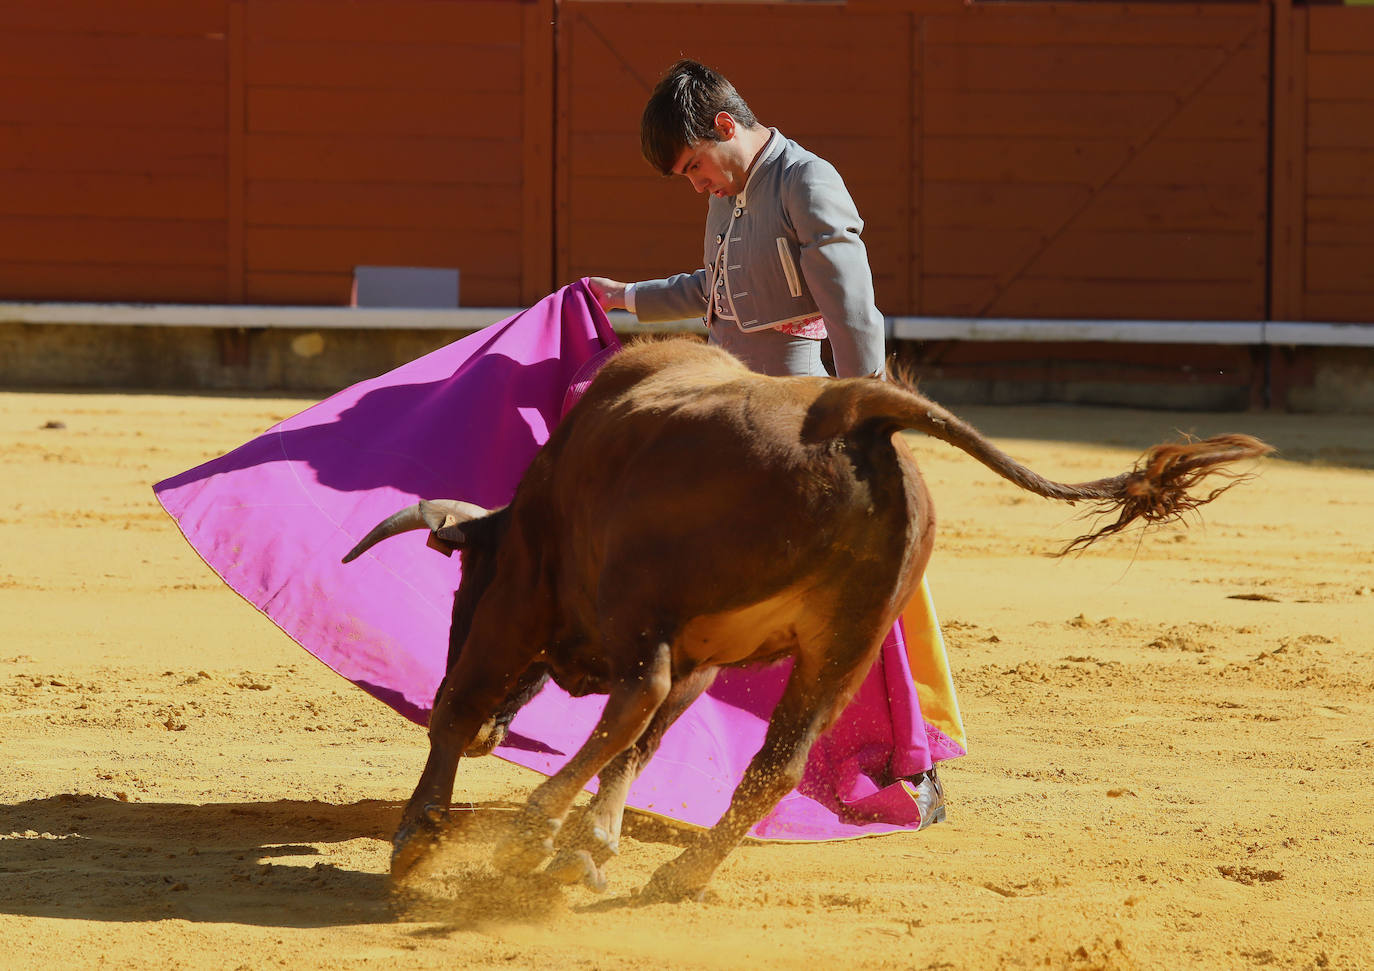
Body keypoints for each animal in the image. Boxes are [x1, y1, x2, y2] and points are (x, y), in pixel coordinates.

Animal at [340, 337, 1264, 900]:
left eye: (463, 586)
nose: (502, 736)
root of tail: (855, 415)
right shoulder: (709, 651)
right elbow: (647, 746)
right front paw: (591, 845)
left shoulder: (525, 595)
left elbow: (463, 703)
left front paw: (420, 836)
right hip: (843, 642)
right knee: (770, 762)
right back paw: (671, 872)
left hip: (648, 609)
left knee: (636, 703)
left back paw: (530, 834)